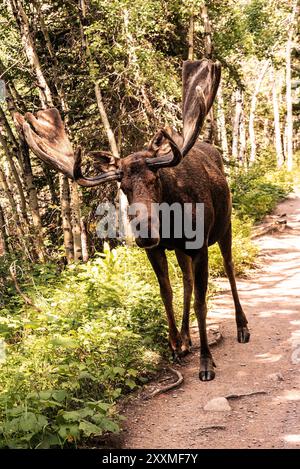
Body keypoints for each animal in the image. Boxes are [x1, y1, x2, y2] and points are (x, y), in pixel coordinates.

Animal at [16, 58, 251, 380]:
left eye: (155, 179)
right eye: (123, 186)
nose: (145, 233)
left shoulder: (199, 245)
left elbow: (203, 301)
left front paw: (206, 362)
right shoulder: (158, 250)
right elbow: (166, 292)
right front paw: (175, 344)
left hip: (224, 226)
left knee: (228, 267)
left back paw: (242, 326)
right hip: (181, 249)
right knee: (187, 280)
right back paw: (187, 337)